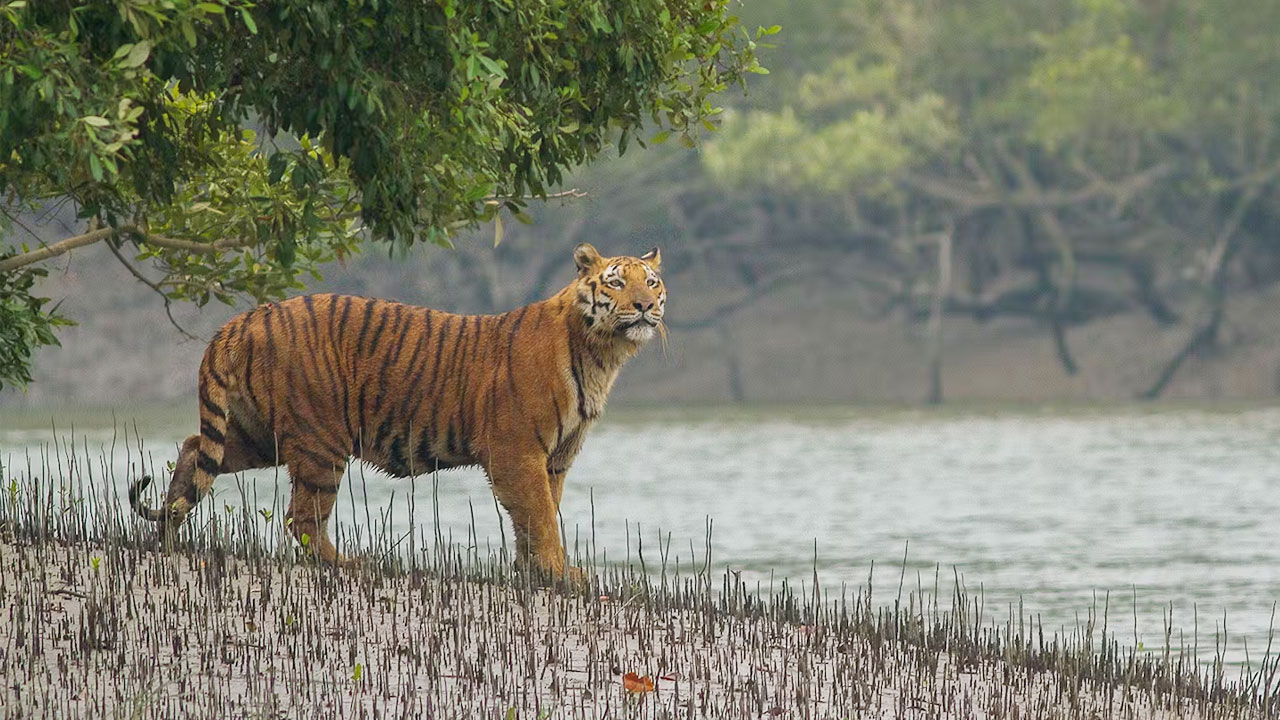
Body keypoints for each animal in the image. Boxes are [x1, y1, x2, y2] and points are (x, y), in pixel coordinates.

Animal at [127, 243, 670, 573]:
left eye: (652, 282)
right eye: (616, 283)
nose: (645, 307)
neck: (603, 353)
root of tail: (242, 319)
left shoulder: (555, 458)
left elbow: (535, 518)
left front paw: (533, 572)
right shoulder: (518, 452)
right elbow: (540, 516)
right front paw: (561, 573)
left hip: (259, 434)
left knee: (194, 449)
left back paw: (166, 535)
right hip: (321, 441)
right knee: (302, 520)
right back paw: (347, 564)